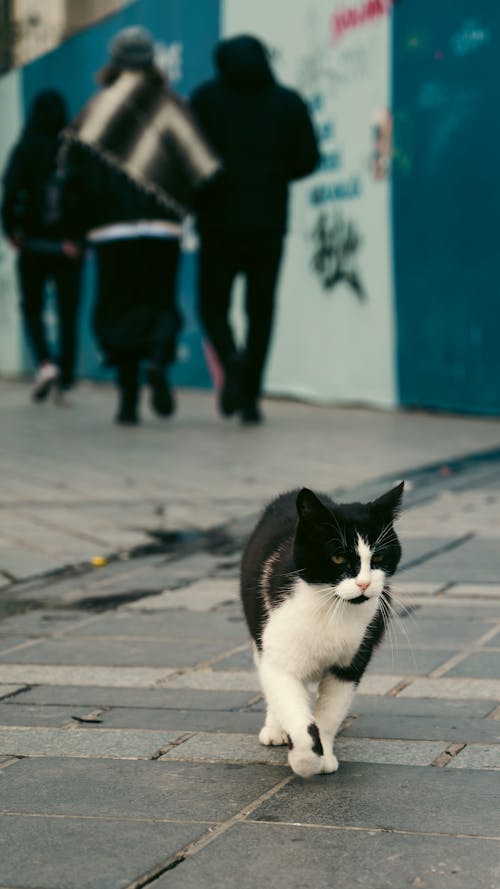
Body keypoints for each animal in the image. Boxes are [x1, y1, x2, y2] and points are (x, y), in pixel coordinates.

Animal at [240, 478, 404, 776]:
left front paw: (324, 754)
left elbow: (329, 713)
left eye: (378, 558)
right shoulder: (279, 653)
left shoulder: (351, 663)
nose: (364, 583)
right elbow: (294, 709)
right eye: (338, 558)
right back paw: (275, 729)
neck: (331, 607)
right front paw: (305, 761)